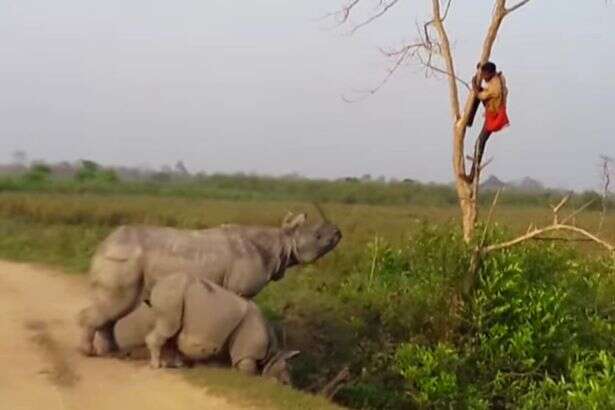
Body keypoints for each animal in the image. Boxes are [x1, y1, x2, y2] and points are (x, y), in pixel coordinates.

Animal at [115, 272, 298, 384]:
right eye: (286, 370)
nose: (287, 384)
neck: (274, 354)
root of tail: (156, 286)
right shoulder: (248, 352)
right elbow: (249, 370)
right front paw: (255, 381)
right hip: (172, 296)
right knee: (168, 329)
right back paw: (156, 366)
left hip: (172, 296)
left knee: (171, 333)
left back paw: (177, 365)